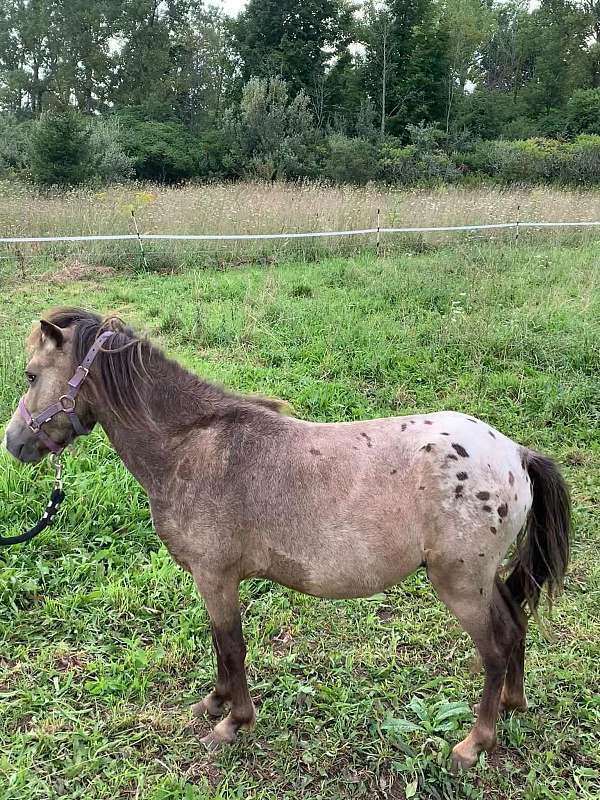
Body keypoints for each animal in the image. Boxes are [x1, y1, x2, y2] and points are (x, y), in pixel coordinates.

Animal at [3, 306, 572, 768]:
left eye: (31, 375)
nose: (14, 443)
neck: (191, 447)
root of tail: (515, 453)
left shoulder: (216, 577)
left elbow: (231, 645)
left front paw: (232, 722)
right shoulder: (214, 580)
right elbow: (220, 645)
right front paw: (214, 703)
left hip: (461, 585)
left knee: (495, 649)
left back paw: (475, 743)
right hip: (483, 579)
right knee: (515, 627)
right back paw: (513, 705)